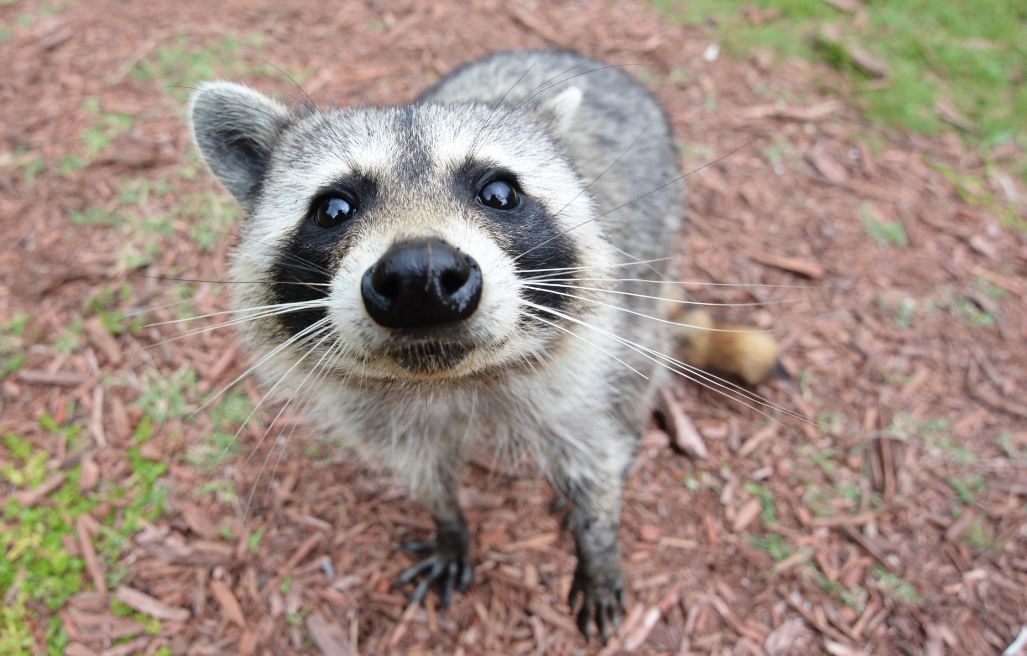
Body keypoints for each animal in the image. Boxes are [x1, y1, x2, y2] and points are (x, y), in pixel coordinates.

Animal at [189, 49, 777, 641]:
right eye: (333, 209)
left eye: (499, 194)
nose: (421, 276)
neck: (449, 378)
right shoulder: (378, 415)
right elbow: (422, 471)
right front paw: (449, 523)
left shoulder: (583, 362)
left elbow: (591, 447)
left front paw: (597, 537)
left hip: (651, 262)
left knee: (635, 372)